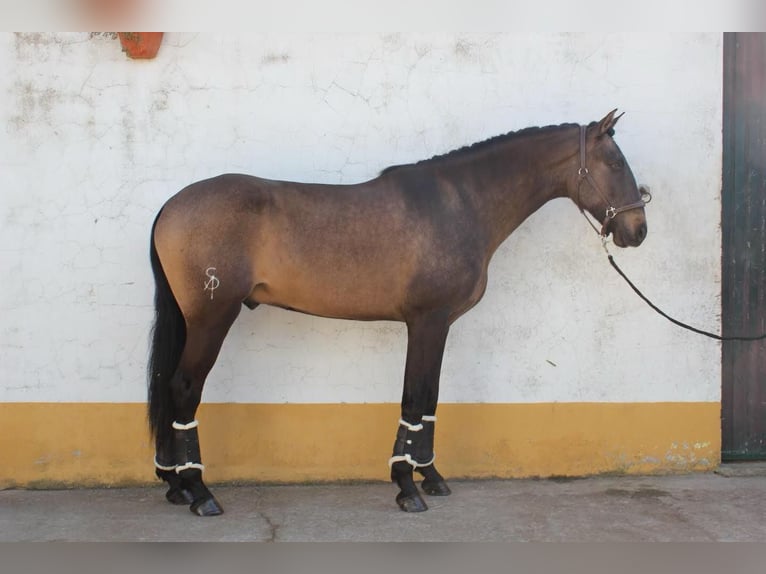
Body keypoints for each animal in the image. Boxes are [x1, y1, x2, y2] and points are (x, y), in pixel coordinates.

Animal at [147, 109, 652, 516]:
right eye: (615, 163)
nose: (638, 230)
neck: (461, 203)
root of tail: (171, 204)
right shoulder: (427, 322)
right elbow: (415, 397)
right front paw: (407, 487)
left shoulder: (438, 326)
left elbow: (429, 400)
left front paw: (431, 476)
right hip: (212, 319)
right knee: (184, 389)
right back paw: (200, 492)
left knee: (169, 388)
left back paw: (175, 484)